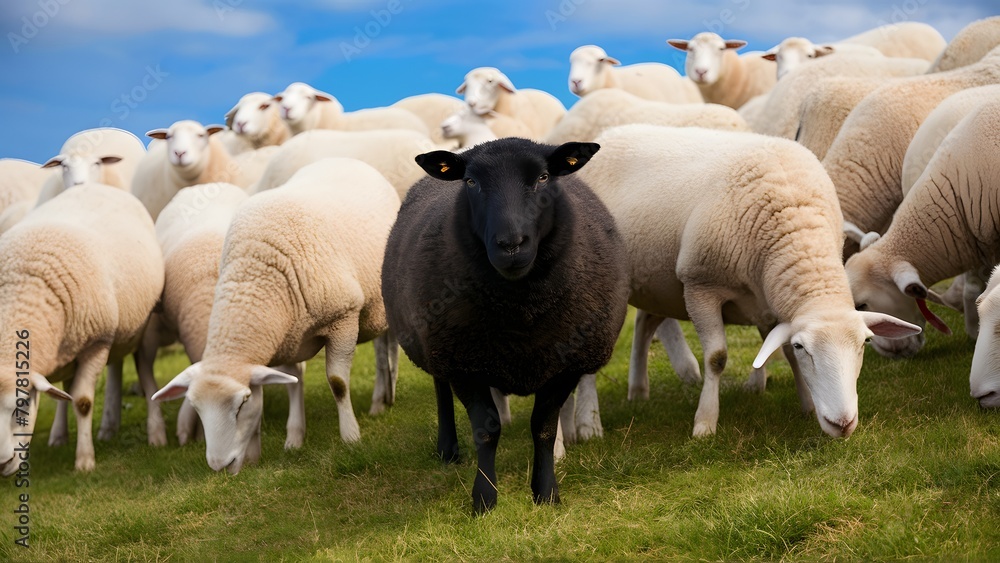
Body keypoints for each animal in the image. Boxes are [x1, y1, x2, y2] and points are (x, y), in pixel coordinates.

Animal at [0, 183, 164, 474]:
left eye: (23, 404)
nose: (2, 464)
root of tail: (96, 185)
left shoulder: (97, 343)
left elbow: (83, 402)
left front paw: (85, 461)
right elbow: (62, 396)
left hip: (138, 331)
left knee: (145, 374)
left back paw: (156, 433)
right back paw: (69, 434)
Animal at [152, 158, 400, 474]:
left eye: (241, 404)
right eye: (197, 408)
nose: (220, 466)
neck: (256, 276)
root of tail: (343, 159)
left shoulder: (343, 318)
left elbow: (338, 383)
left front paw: (351, 437)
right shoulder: (285, 339)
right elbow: (293, 382)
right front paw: (286, 442)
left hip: (381, 300)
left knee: (388, 345)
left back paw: (384, 397)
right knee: (382, 347)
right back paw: (382, 400)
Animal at [382, 137, 629, 513]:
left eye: (543, 177)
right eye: (470, 181)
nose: (511, 244)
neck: (521, 310)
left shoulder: (567, 365)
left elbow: (543, 428)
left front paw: (546, 494)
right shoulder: (462, 364)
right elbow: (487, 430)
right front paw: (484, 499)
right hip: (434, 344)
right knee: (440, 387)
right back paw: (447, 449)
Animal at [579, 124, 920, 439]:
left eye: (865, 343)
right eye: (803, 347)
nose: (843, 424)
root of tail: (609, 134)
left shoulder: (767, 300)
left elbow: (778, 350)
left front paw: (807, 406)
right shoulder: (699, 286)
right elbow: (716, 358)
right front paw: (705, 423)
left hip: (656, 283)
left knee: (645, 323)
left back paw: (638, 391)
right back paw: (588, 425)